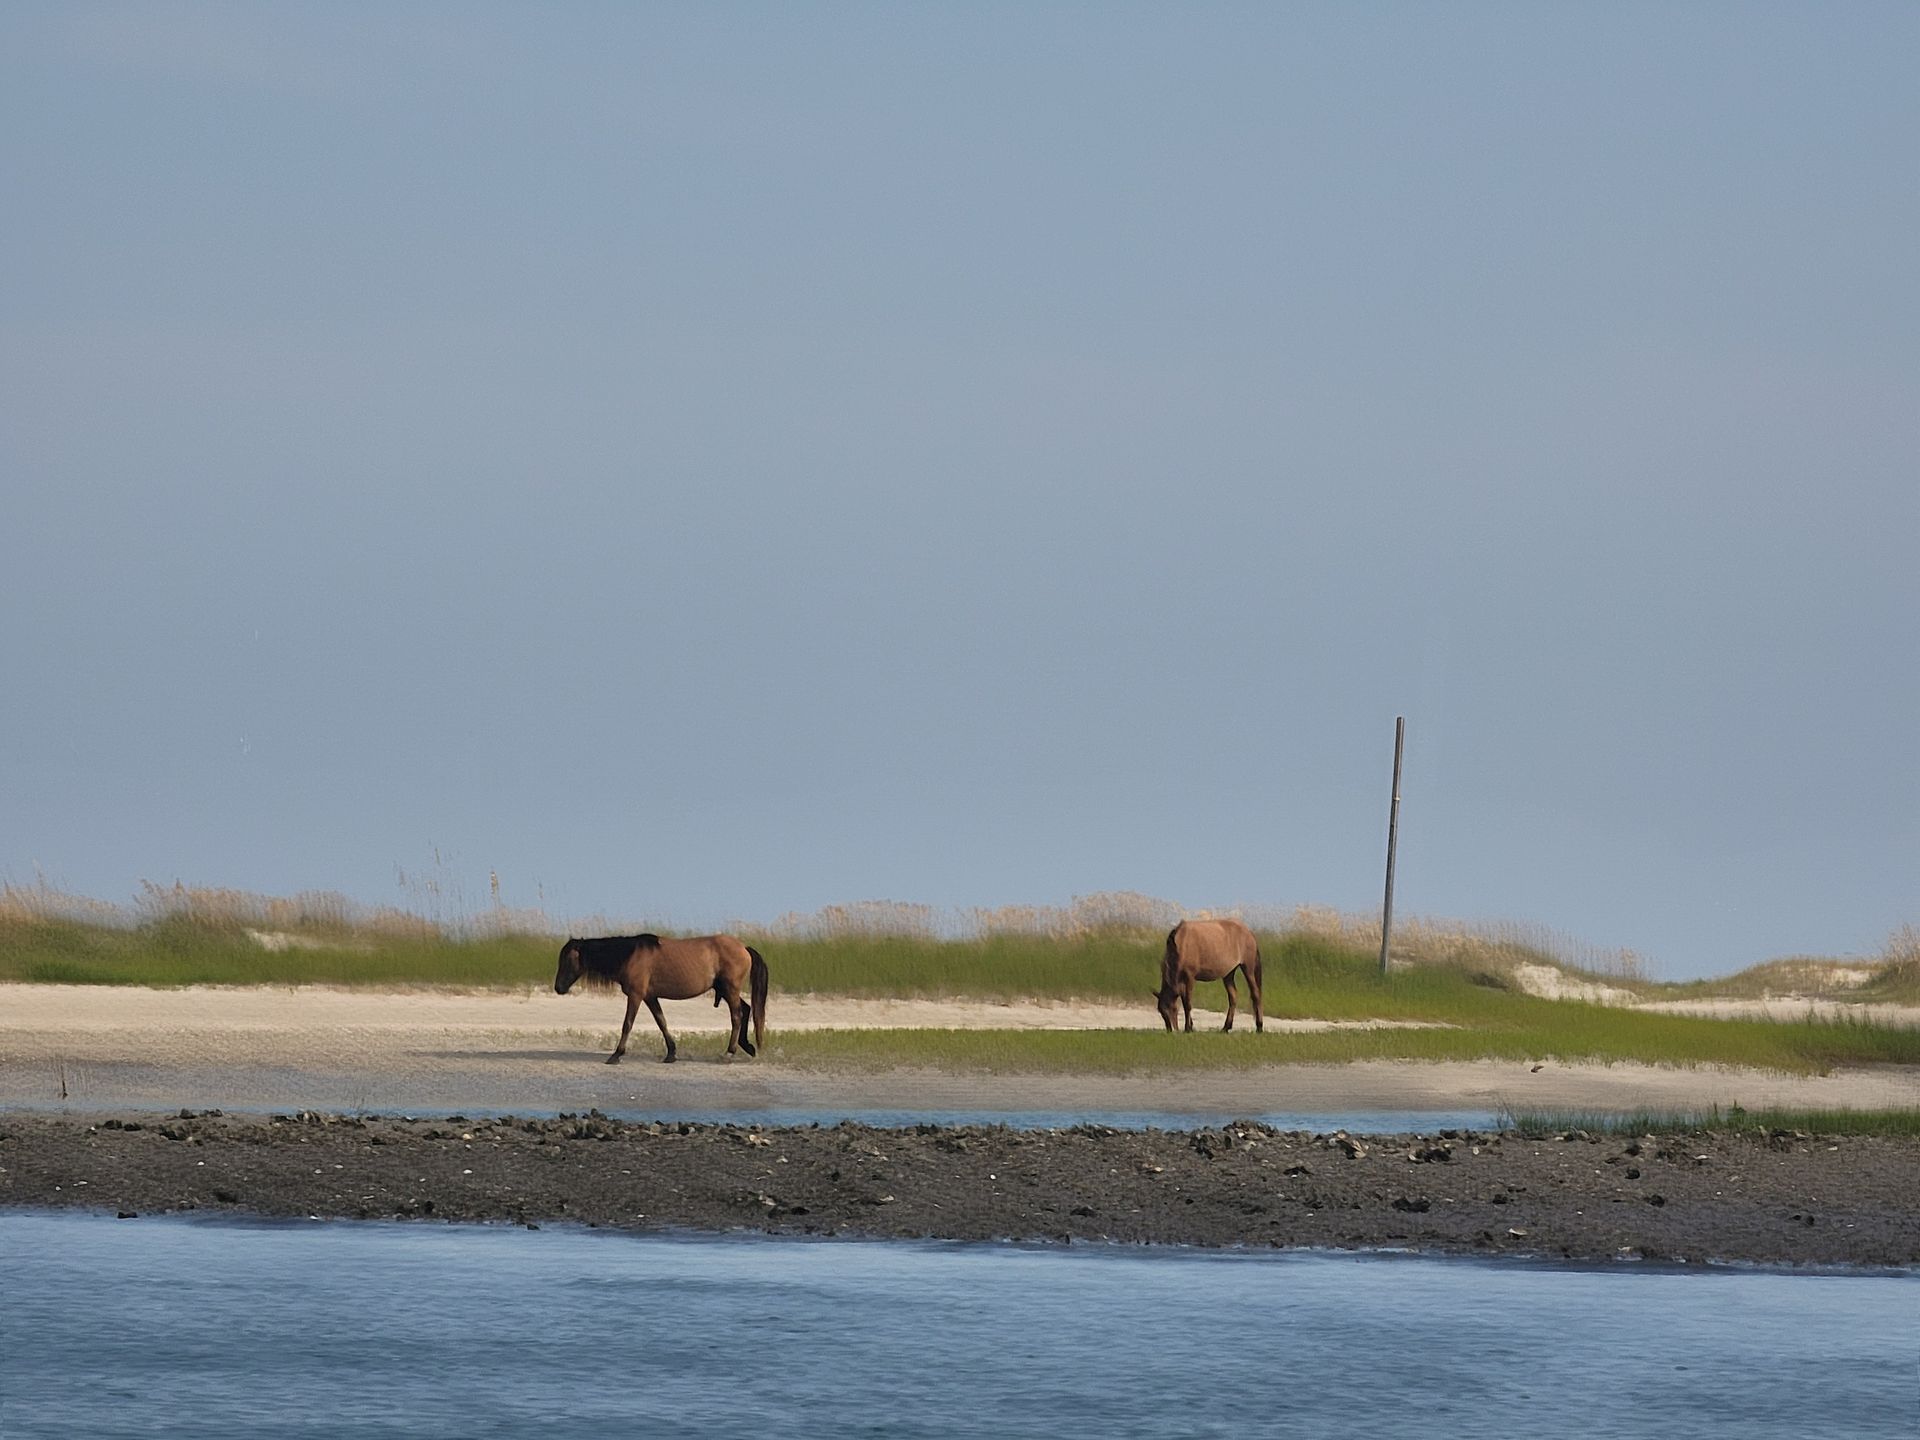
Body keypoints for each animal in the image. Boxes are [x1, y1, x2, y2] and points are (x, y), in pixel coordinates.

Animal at [554, 933, 769, 1064]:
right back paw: (747, 1046)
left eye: (567, 960)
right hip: (725, 990)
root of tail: (744, 947)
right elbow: (661, 1022)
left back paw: (730, 1052)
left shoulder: (636, 995)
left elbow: (627, 1024)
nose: (558, 988)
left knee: (737, 1016)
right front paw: (671, 1053)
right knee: (746, 1010)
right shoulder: (650, 997)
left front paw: (616, 1054)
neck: (631, 955)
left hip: (729, 989)